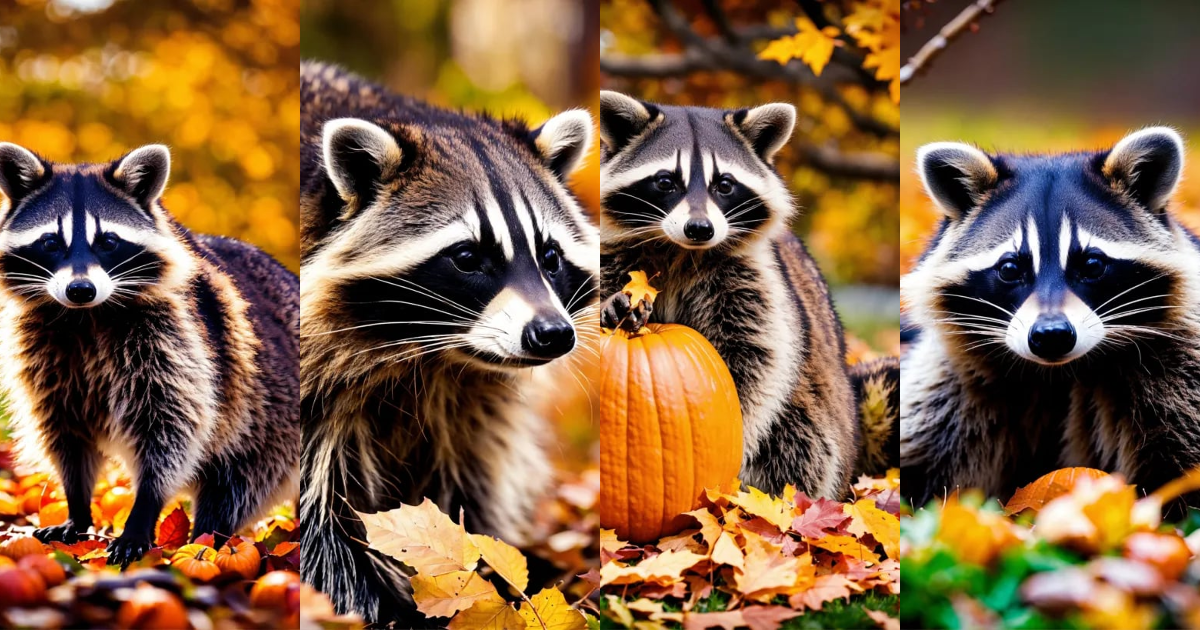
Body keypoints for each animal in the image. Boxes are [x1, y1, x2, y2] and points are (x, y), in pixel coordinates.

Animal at [0, 143, 299, 567]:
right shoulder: (45, 353)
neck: (86, 316)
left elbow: (171, 427)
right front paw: (77, 505)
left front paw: (143, 512)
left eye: (107, 241)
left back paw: (210, 537)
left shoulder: (178, 340)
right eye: (51, 242)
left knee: (235, 482)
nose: (80, 289)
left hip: (267, 414)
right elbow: (64, 432)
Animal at [299, 62, 597, 624]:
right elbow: (321, 518)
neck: (429, 356)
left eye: (549, 256)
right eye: (467, 258)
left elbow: (469, 490)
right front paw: (370, 601)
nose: (552, 334)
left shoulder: (471, 403)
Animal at [597, 91, 897, 498]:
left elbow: (754, 359)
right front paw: (613, 305)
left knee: (800, 440)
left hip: (822, 423)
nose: (700, 229)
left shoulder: (754, 277)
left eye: (724, 184)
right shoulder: (612, 251)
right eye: (665, 181)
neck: (679, 251)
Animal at [901, 127, 1200, 508]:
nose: (1052, 335)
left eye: (1092, 265)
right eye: (1010, 268)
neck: (1058, 373)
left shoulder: (1177, 370)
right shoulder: (951, 385)